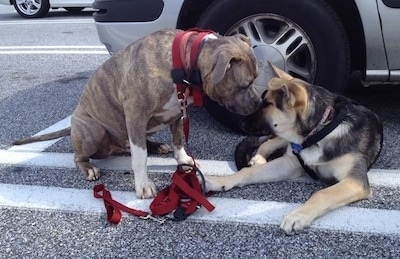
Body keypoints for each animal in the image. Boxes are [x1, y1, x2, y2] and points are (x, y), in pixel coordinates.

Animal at [203, 63, 384, 236]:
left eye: (268, 104)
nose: (241, 123)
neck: (320, 130)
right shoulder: (289, 163)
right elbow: (247, 172)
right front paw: (220, 181)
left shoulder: (355, 182)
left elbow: (322, 194)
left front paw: (297, 215)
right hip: (281, 139)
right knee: (269, 142)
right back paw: (259, 158)